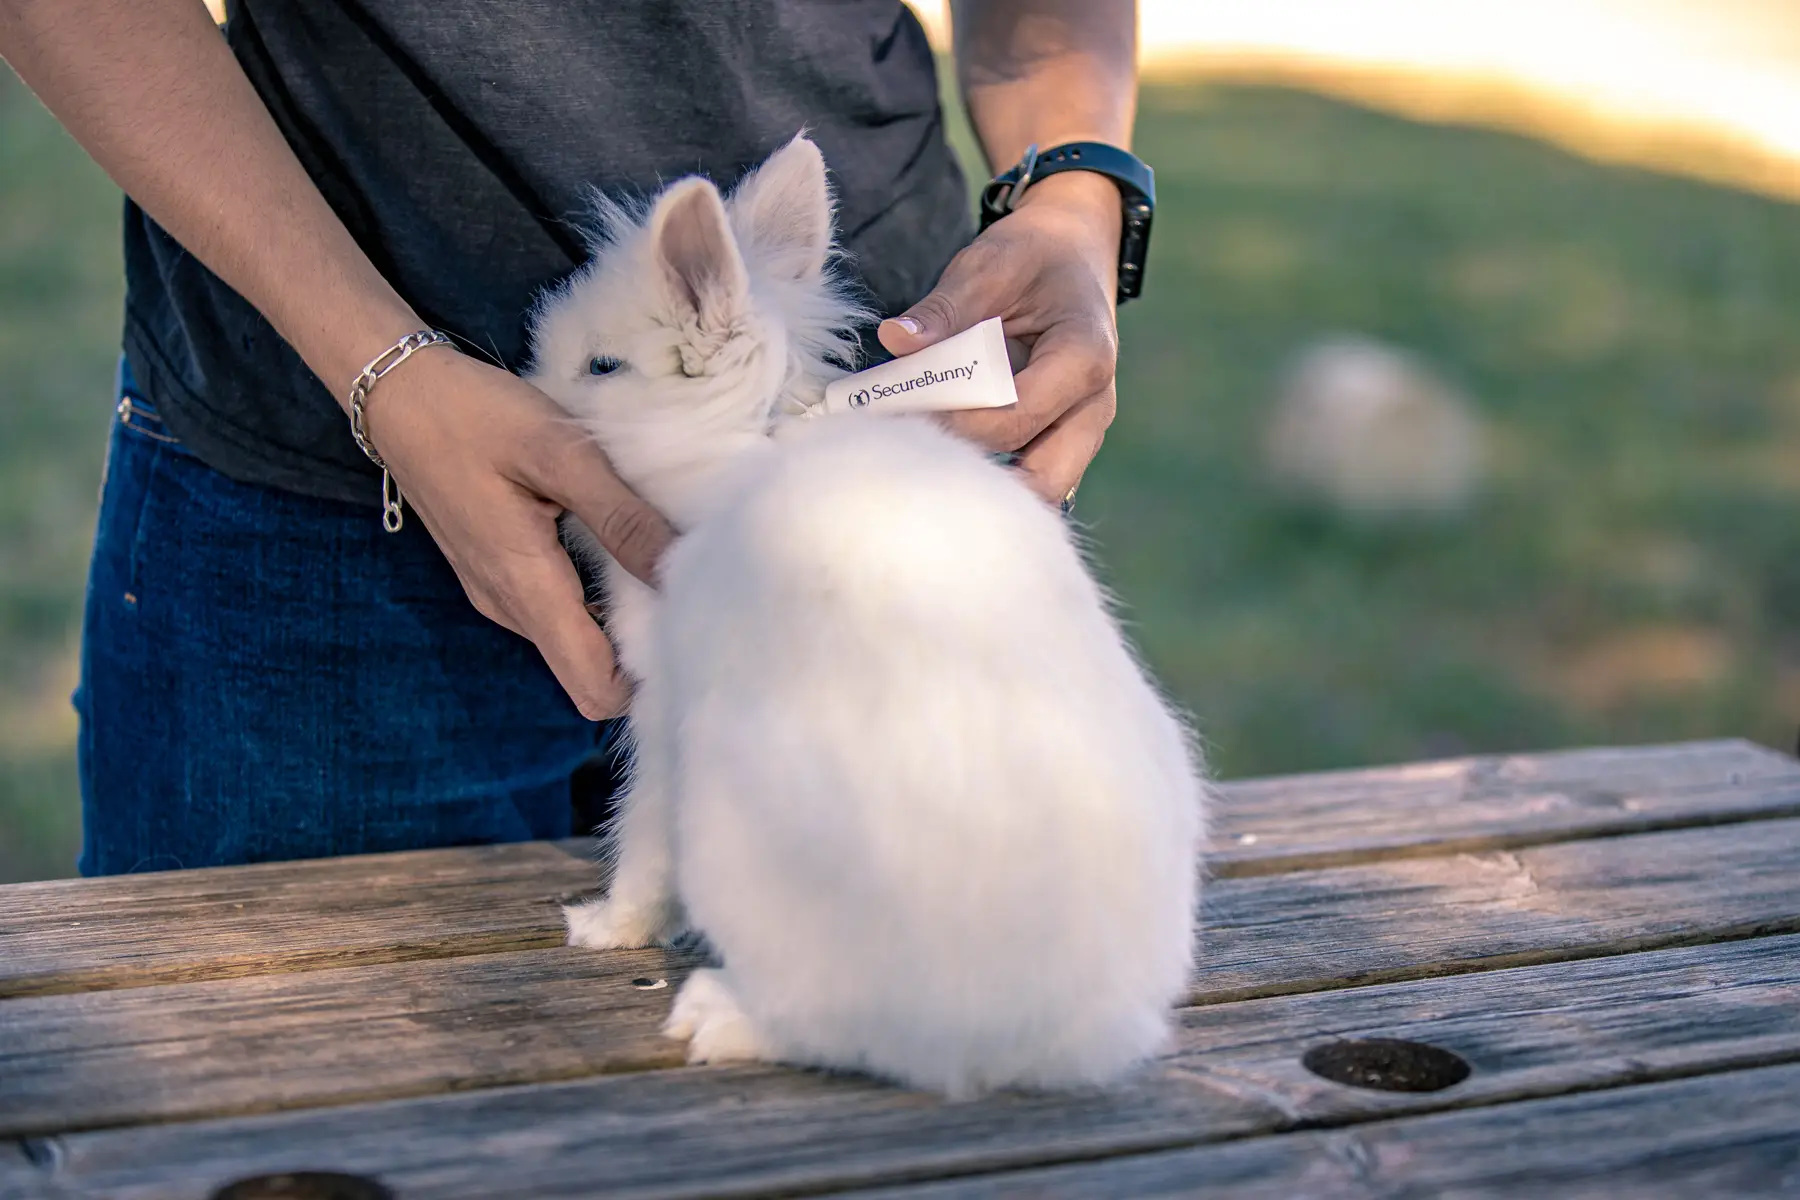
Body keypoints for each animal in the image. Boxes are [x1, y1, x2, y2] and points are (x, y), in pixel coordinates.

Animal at [527, 135, 1206, 1098]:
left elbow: (641, 837)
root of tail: (1051, 1039)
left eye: (600, 367)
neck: (741, 443)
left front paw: (602, 926)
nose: (529, 392)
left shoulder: (664, 714)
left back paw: (717, 1020)